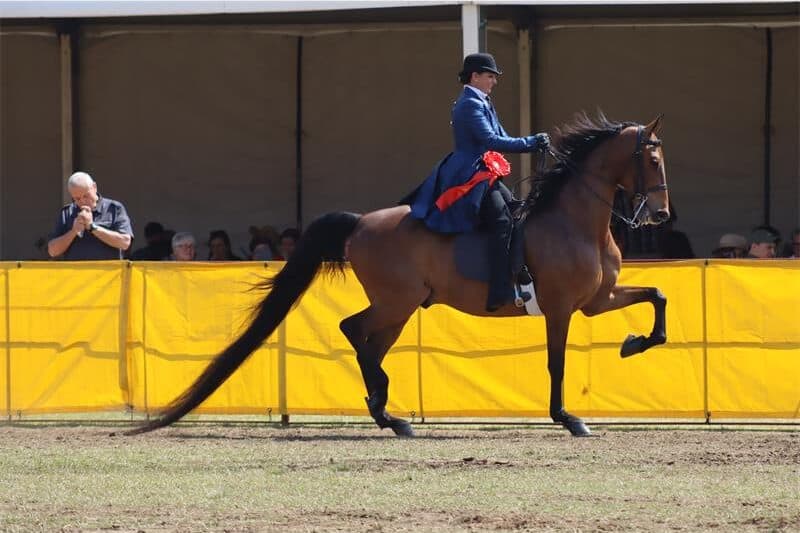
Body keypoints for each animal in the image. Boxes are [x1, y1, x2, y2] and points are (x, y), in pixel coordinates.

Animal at [127, 113, 669, 438]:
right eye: (652, 157)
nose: (660, 215)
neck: (576, 222)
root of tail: (360, 222)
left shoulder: (597, 300)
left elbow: (657, 295)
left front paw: (634, 344)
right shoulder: (559, 308)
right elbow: (557, 365)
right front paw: (568, 418)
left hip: (401, 307)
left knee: (368, 342)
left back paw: (384, 408)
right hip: (397, 301)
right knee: (354, 331)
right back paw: (387, 406)